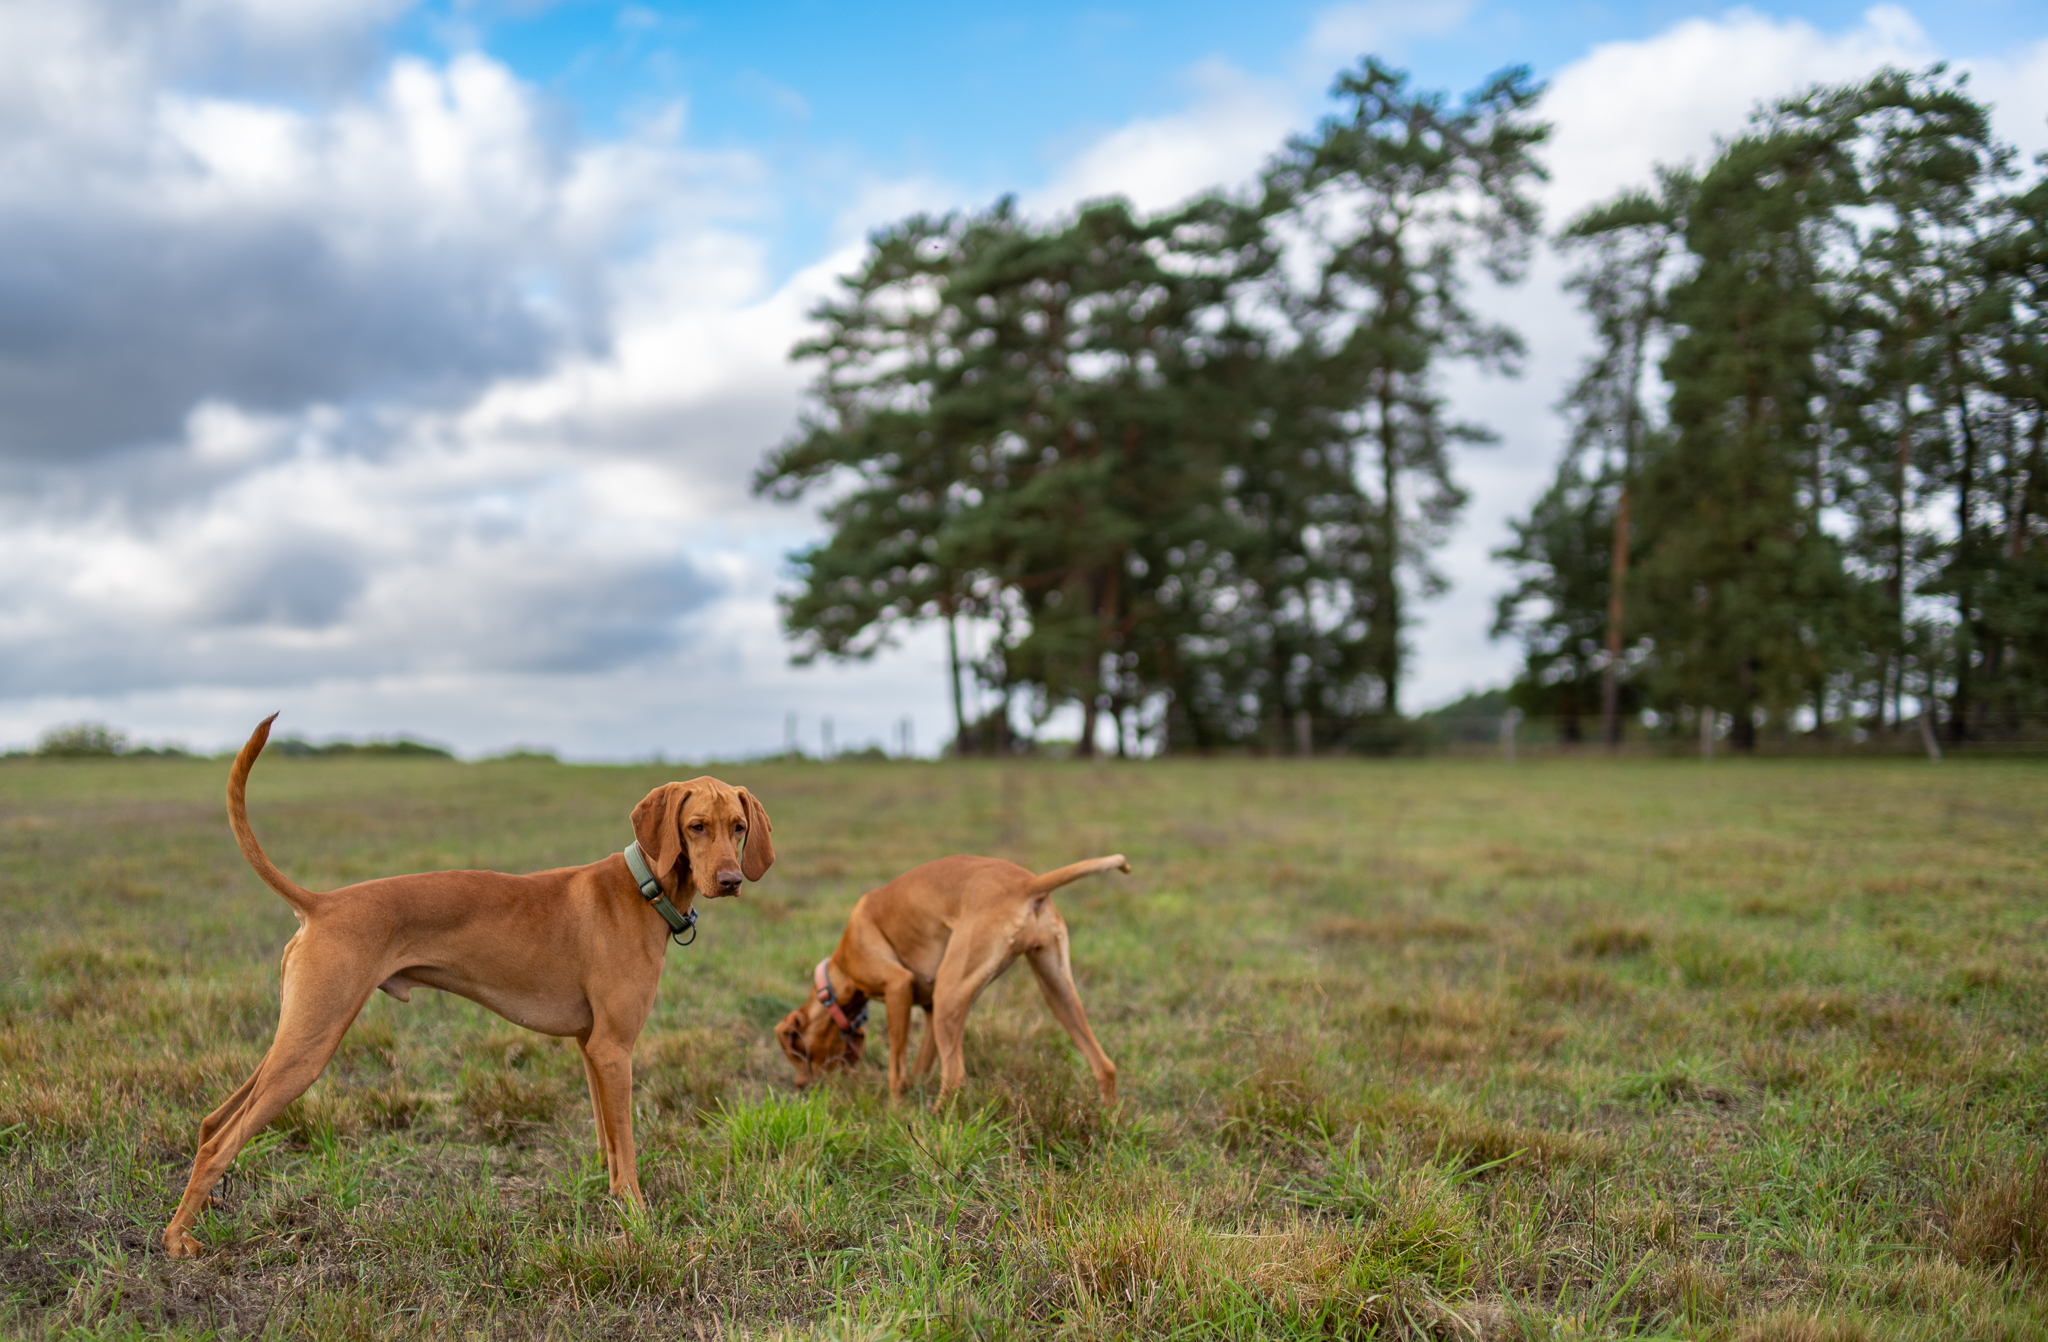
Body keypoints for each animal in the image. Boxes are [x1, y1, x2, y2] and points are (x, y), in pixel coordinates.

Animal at [161, 714, 773, 1258]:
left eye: (738, 828)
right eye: (696, 826)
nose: (730, 880)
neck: (644, 888)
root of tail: (323, 903)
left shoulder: (593, 1049)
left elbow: (608, 1142)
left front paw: (606, 1199)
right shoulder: (614, 1048)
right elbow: (627, 1154)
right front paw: (637, 1219)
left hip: (295, 1039)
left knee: (214, 1120)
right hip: (310, 1048)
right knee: (219, 1141)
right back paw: (176, 1240)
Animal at [777, 853, 1126, 1105]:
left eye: (797, 1055)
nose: (799, 1086)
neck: (841, 970)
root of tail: (1028, 882)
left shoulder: (899, 988)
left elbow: (896, 1071)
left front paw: (895, 1113)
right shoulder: (931, 1011)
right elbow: (916, 1070)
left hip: (950, 993)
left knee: (956, 1079)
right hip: (1055, 991)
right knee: (1105, 1066)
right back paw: (1108, 1122)